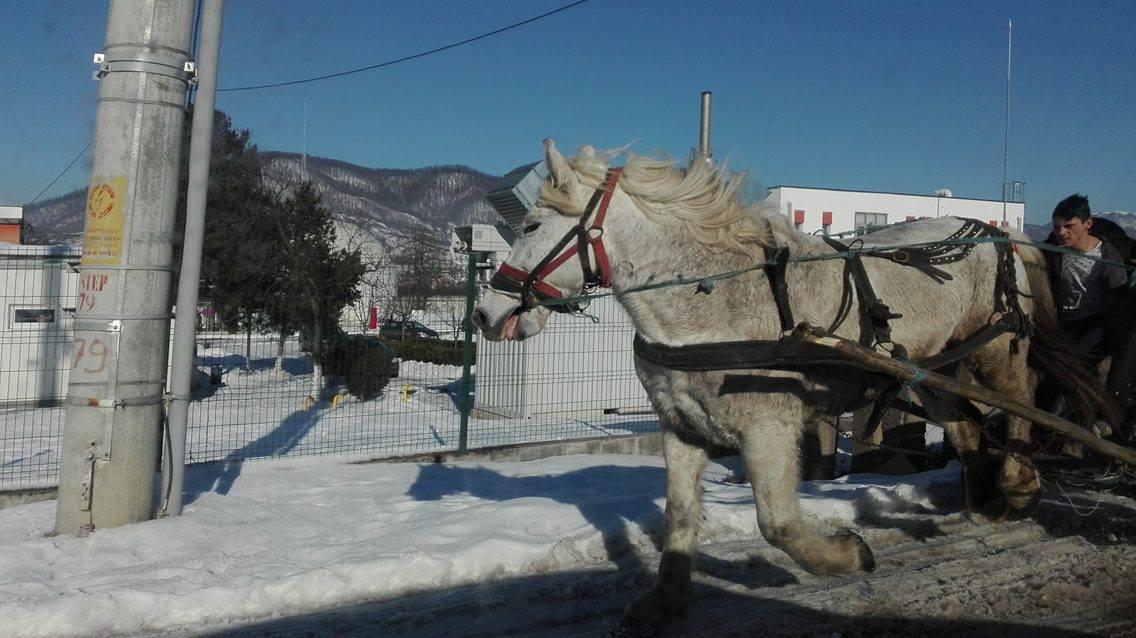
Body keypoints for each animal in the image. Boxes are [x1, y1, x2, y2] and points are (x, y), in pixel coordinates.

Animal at [472, 140, 1108, 626]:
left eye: (532, 224)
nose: (484, 314)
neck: (713, 300)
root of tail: (996, 232)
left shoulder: (768, 428)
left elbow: (776, 523)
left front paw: (846, 557)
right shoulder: (681, 426)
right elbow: (679, 515)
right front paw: (667, 600)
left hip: (997, 350)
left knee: (1019, 406)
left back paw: (1019, 487)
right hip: (932, 369)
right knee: (969, 425)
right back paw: (982, 502)